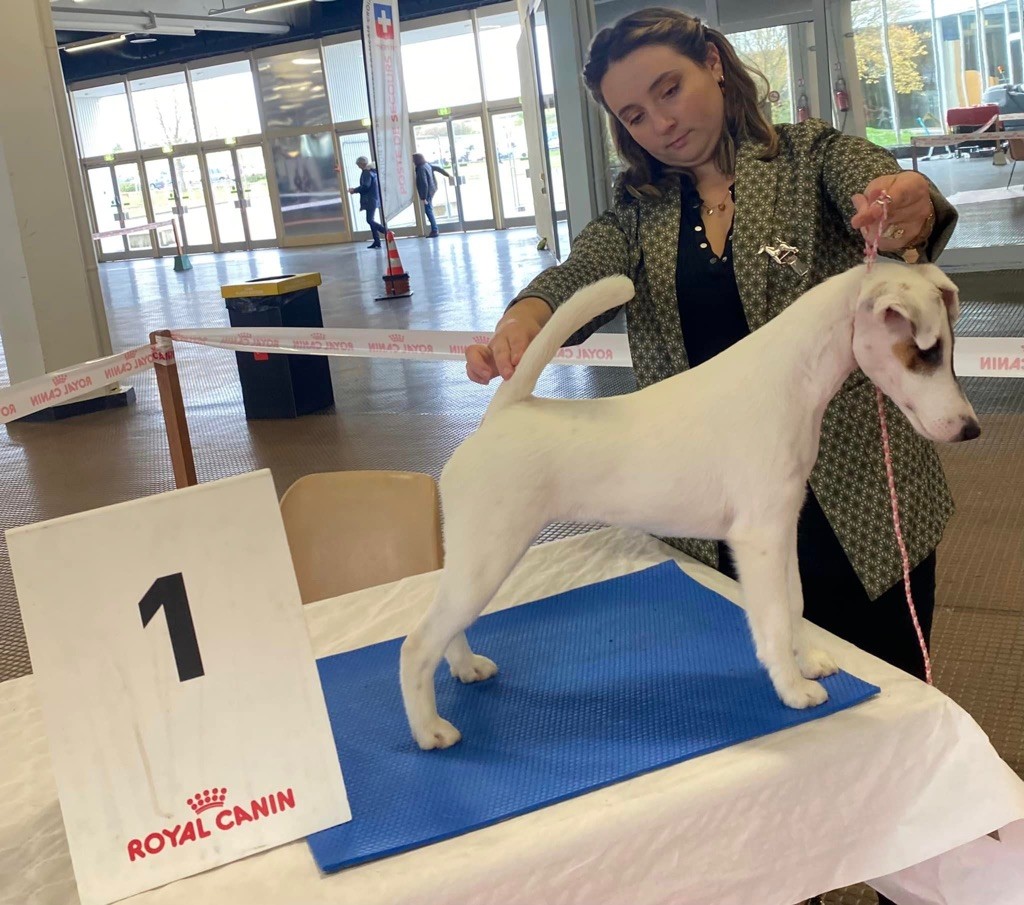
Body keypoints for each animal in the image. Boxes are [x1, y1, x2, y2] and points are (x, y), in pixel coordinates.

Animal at [397, 262, 974, 749]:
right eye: (924, 352)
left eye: (946, 352)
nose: (970, 429)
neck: (790, 378)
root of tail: (501, 415)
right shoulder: (759, 538)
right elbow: (772, 620)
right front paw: (792, 689)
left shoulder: (783, 526)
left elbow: (794, 604)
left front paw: (808, 661)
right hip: (488, 556)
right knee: (417, 644)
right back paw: (431, 732)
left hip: (476, 562)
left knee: (447, 629)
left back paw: (467, 669)